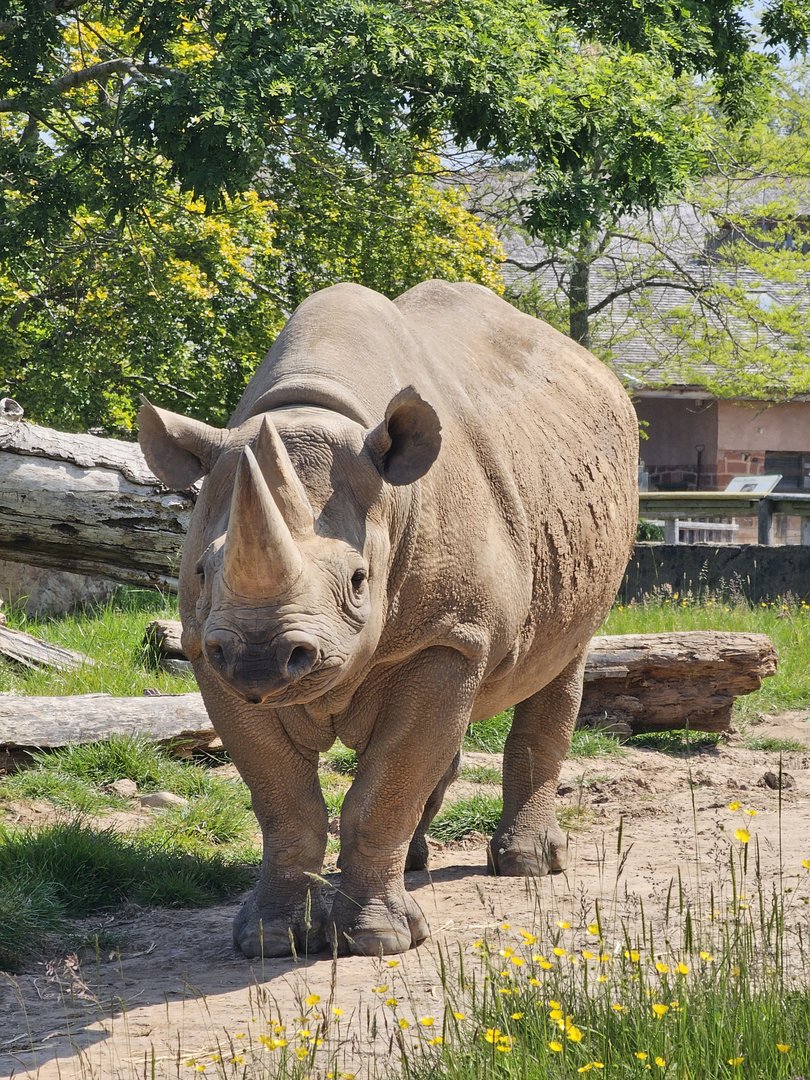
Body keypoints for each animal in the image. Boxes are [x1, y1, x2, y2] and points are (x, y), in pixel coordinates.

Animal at [138, 280, 637, 958]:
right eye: (199, 573)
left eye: (357, 581)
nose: (262, 657)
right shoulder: (207, 651)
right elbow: (286, 799)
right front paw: (269, 939)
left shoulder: (446, 637)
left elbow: (386, 785)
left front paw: (380, 940)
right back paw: (418, 862)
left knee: (562, 662)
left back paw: (528, 866)